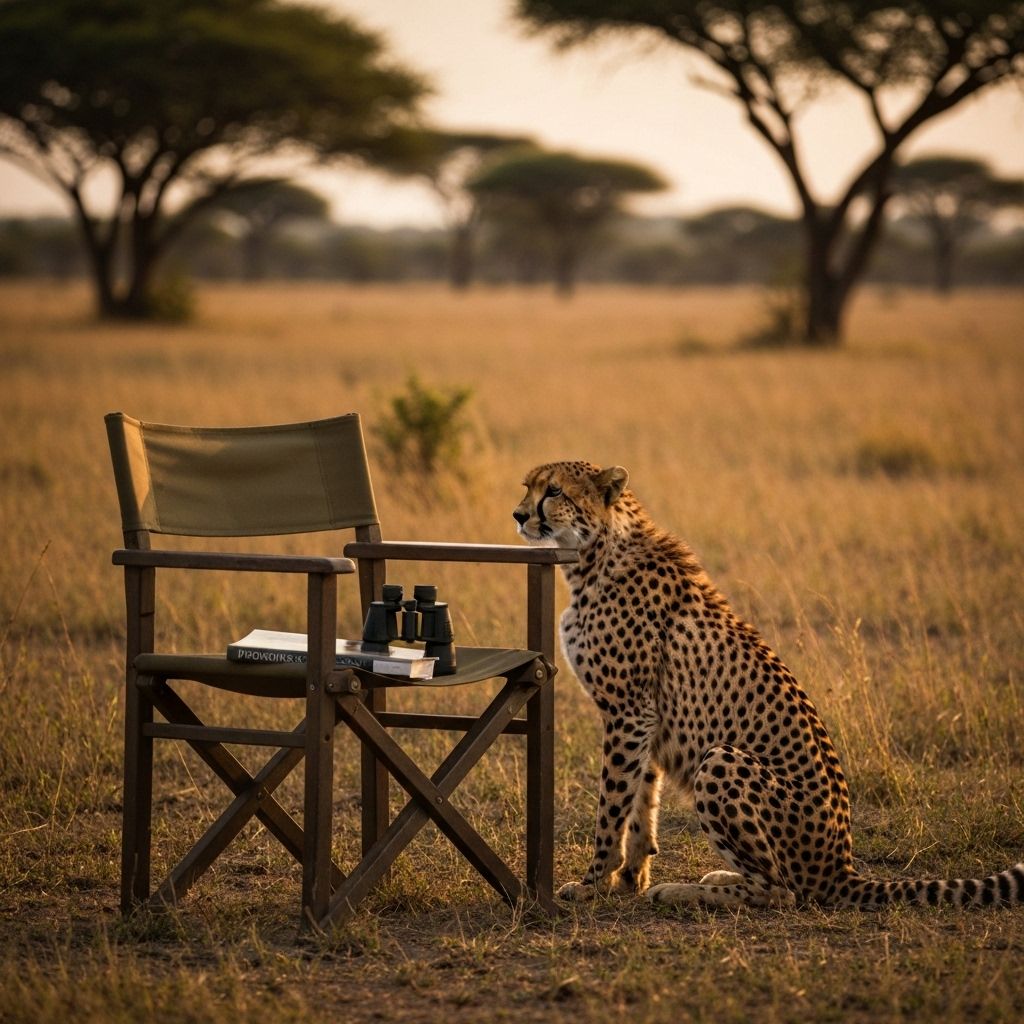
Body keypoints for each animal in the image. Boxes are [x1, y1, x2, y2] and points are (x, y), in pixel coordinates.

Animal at [513, 460, 1024, 910]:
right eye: (527, 486)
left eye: (553, 491)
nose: (519, 515)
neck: (595, 553)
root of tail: (841, 867)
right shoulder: (646, 716)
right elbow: (642, 801)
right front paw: (628, 877)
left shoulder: (629, 710)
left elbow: (613, 804)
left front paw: (593, 883)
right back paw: (715, 877)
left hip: (720, 761)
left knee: (782, 891)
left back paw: (684, 892)